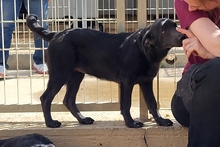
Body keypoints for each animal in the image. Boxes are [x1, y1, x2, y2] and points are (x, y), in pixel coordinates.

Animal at [25, 14, 186, 128]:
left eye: (175, 26)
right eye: (164, 31)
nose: (183, 36)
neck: (146, 51)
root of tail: (56, 34)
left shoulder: (146, 82)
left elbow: (152, 103)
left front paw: (161, 121)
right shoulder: (126, 82)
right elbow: (126, 104)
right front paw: (131, 123)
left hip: (76, 75)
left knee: (69, 100)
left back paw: (83, 120)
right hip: (60, 73)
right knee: (46, 98)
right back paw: (51, 123)